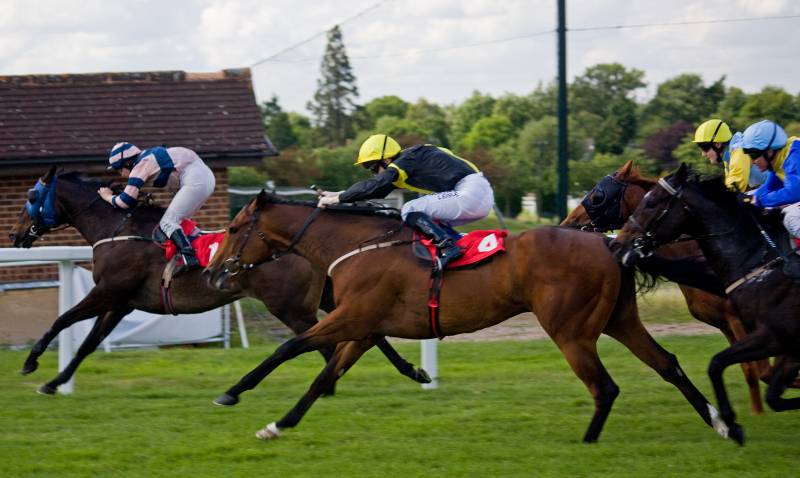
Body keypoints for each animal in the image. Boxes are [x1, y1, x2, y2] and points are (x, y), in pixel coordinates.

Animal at [7, 168, 432, 396]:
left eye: (31, 195)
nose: (14, 234)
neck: (118, 228)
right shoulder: (122, 302)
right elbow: (88, 344)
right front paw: (55, 382)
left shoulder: (108, 291)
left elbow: (62, 321)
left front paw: (30, 363)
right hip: (331, 298)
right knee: (367, 335)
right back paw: (412, 371)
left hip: (291, 307)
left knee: (327, 344)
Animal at [205, 191, 732, 444]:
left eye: (232, 228)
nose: (212, 273)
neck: (356, 245)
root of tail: (609, 243)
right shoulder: (364, 326)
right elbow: (323, 376)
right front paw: (278, 425)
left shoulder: (351, 317)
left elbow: (289, 347)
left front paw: (231, 392)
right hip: (617, 320)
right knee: (667, 364)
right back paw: (723, 424)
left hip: (570, 330)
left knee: (604, 387)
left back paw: (586, 443)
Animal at [560, 159, 772, 412]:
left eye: (596, 196)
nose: (568, 223)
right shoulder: (726, 324)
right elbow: (753, 370)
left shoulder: (743, 320)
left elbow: (761, 369)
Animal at [608, 163, 800, 444]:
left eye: (652, 203)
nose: (616, 244)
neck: (759, 257)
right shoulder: (776, 338)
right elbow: (740, 373)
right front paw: (733, 422)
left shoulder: (769, 333)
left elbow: (734, 367)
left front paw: (732, 421)